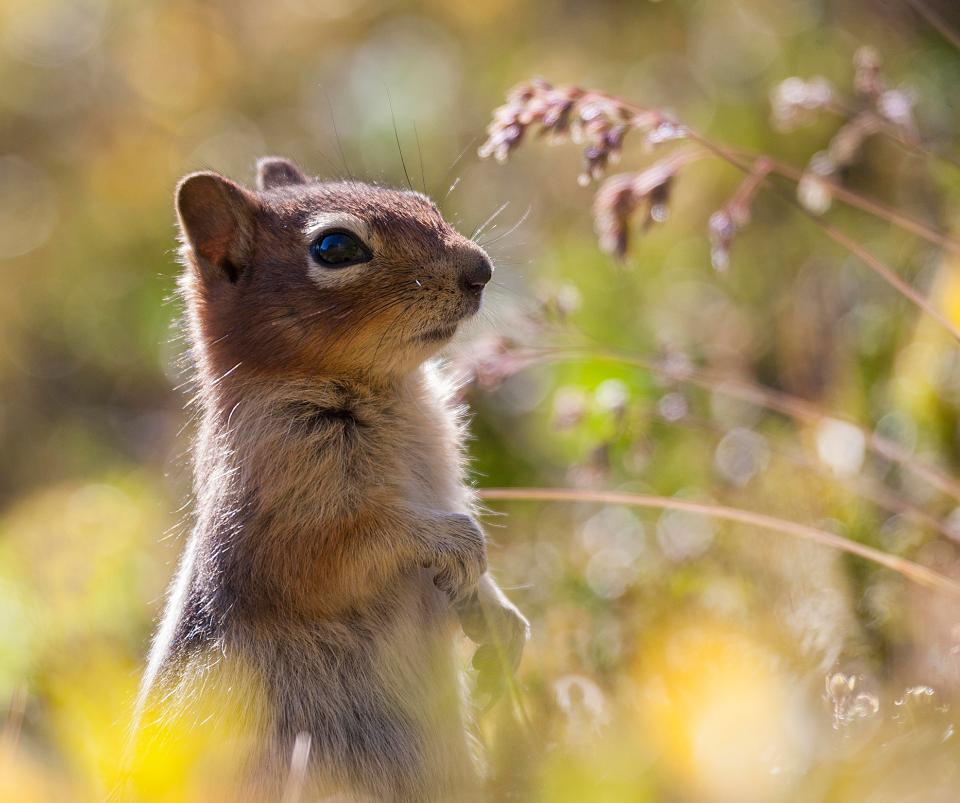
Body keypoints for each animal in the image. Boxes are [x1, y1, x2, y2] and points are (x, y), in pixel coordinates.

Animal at [135, 159, 528, 803]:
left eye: (423, 202)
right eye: (336, 248)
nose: (482, 268)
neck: (392, 392)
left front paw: (500, 619)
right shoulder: (279, 510)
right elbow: (334, 553)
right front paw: (458, 544)